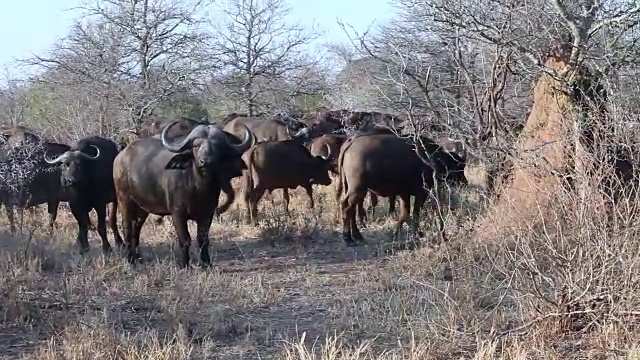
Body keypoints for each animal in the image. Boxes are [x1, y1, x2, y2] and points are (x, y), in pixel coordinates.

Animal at [114, 121, 254, 268]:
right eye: (196, 146)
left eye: (217, 147)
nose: (206, 161)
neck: (198, 187)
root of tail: (120, 156)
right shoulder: (177, 214)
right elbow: (185, 239)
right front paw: (184, 264)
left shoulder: (208, 213)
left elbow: (203, 239)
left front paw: (206, 263)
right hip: (124, 199)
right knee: (127, 227)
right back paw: (130, 259)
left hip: (142, 207)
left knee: (136, 227)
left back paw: (137, 257)